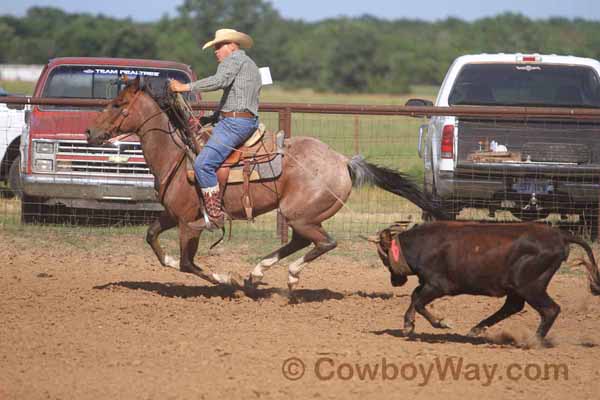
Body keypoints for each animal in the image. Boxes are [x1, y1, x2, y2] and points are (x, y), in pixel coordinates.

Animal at [85, 79, 446, 290]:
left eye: (118, 104)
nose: (90, 132)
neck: (177, 154)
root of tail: (343, 161)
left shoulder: (190, 223)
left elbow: (189, 264)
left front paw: (223, 278)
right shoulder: (172, 215)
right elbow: (153, 239)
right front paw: (176, 263)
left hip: (300, 213)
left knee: (324, 243)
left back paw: (288, 274)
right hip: (300, 216)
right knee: (302, 241)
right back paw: (257, 272)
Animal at [376, 220, 600, 340]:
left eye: (384, 259)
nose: (395, 282)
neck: (422, 244)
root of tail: (560, 236)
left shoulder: (437, 285)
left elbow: (419, 301)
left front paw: (441, 322)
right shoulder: (428, 284)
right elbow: (415, 296)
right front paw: (409, 324)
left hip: (530, 286)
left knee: (550, 309)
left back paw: (533, 340)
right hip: (518, 288)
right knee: (513, 306)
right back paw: (477, 329)